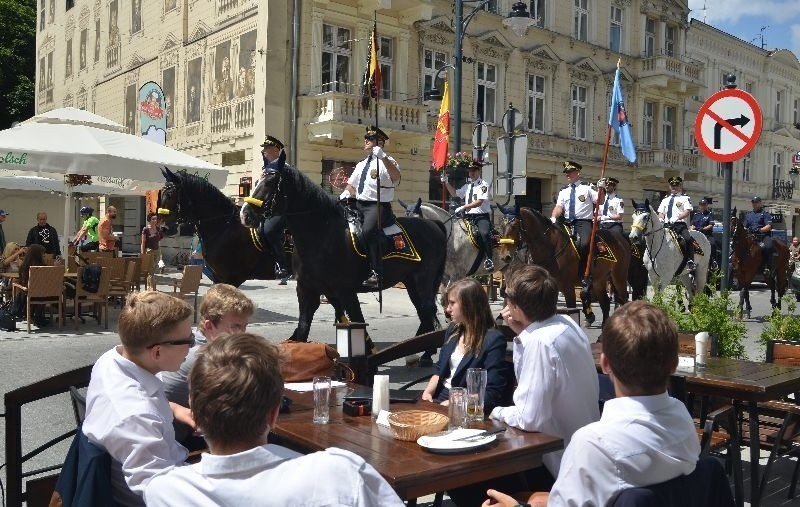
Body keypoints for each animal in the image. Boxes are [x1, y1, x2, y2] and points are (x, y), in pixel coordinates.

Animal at [241, 153, 446, 344]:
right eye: (257, 181)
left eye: (271, 182)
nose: (245, 214)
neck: (322, 234)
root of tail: (434, 224)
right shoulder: (308, 291)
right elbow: (302, 329)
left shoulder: (345, 292)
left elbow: (357, 324)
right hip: (411, 281)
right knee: (425, 313)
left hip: (422, 280)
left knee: (427, 310)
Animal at [496, 206, 628, 326]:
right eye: (500, 226)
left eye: (514, 226)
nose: (504, 256)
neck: (550, 247)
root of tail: (620, 237)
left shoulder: (567, 287)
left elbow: (571, 309)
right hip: (599, 281)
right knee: (605, 303)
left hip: (618, 277)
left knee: (624, 298)